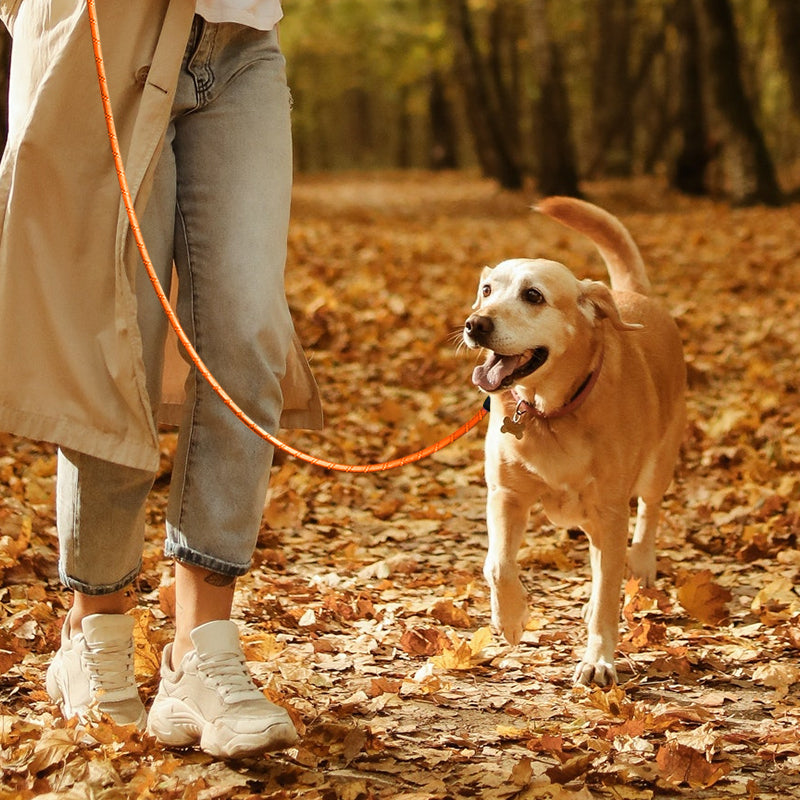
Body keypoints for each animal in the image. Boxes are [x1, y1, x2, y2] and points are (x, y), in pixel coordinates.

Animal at [462, 197, 688, 684]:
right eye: (487, 290)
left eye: (533, 295)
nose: (475, 325)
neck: (549, 412)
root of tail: (632, 293)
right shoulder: (505, 496)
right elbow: (498, 564)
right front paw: (510, 617)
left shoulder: (610, 510)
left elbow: (607, 593)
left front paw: (598, 658)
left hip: (655, 466)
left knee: (647, 514)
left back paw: (641, 563)